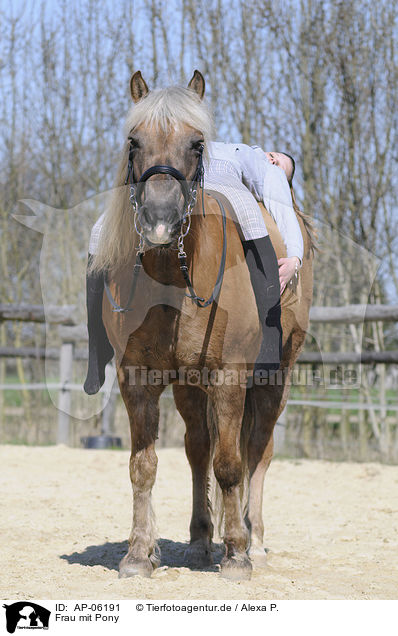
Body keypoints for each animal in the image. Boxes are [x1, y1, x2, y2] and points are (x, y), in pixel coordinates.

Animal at [93, 71, 314, 580]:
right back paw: (198, 542)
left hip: (273, 380)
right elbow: (144, 465)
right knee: (198, 449)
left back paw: (254, 542)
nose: (159, 219)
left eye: (196, 144)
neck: (174, 277)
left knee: (257, 452)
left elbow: (231, 464)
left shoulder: (230, 377)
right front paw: (139, 554)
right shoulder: (139, 378)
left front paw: (235, 555)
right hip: (189, 386)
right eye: (133, 141)